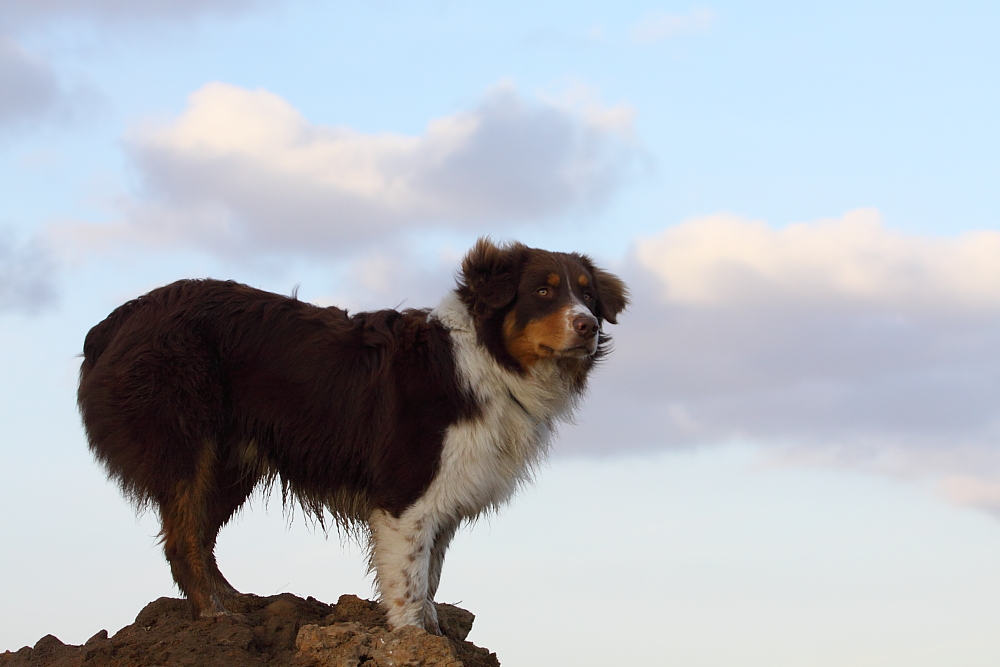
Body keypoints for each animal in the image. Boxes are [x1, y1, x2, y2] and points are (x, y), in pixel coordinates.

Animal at [80, 237, 624, 636]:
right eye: (542, 292)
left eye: (588, 295)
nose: (588, 326)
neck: (487, 362)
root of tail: (116, 320)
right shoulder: (406, 492)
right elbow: (409, 576)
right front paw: (412, 637)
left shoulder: (445, 491)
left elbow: (431, 572)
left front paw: (432, 629)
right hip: (188, 445)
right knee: (182, 539)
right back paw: (215, 617)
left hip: (231, 460)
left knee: (201, 534)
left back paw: (235, 601)